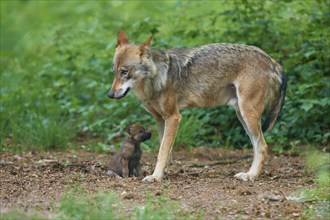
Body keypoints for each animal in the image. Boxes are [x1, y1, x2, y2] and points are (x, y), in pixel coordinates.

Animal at [107, 30, 286, 182]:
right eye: (114, 71)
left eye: (125, 72)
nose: (110, 95)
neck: (155, 78)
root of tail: (271, 60)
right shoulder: (161, 119)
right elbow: (165, 150)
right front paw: (163, 173)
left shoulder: (173, 117)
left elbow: (162, 151)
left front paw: (155, 177)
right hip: (241, 115)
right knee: (257, 146)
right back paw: (250, 173)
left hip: (247, 114)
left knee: (263, 147)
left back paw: (251, 176)